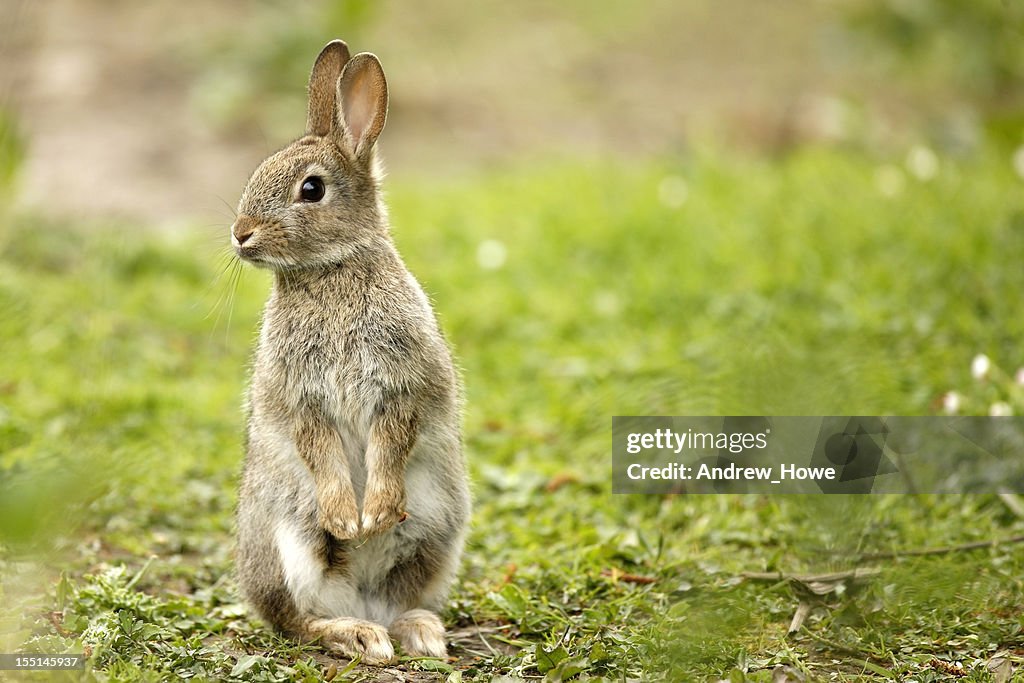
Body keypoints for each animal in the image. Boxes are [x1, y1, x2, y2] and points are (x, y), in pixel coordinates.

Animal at [232, 39, 471, 665]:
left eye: (311, 189)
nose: (240, 233)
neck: (331, 269)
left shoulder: (403, 386)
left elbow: (393, 439)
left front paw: (375, 512)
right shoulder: (302, 399)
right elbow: (319, 448)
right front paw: (347, 518)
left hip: (436, 534)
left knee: (399, 598)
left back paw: (417, 632)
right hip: (289, 544)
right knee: (299, 622)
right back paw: (357, 633)